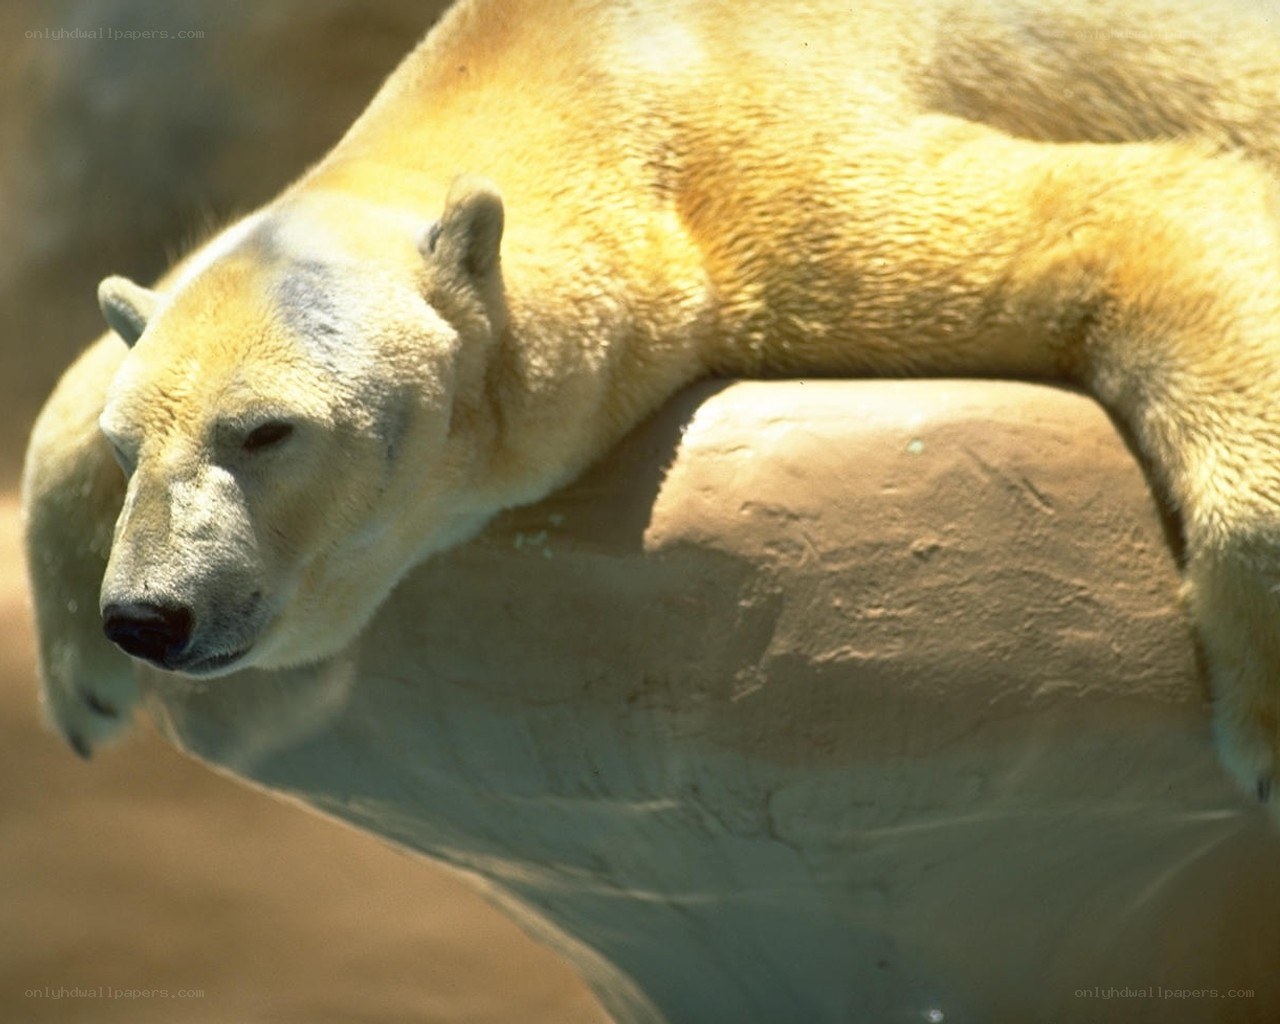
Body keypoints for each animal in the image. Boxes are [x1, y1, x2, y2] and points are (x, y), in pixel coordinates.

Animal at [20, 0, 1280, 805]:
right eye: (129, 448)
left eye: (268, 431)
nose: (147, 615)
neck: (578, 67)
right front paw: (79, 685)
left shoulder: (769, 175)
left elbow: (1130, 211)